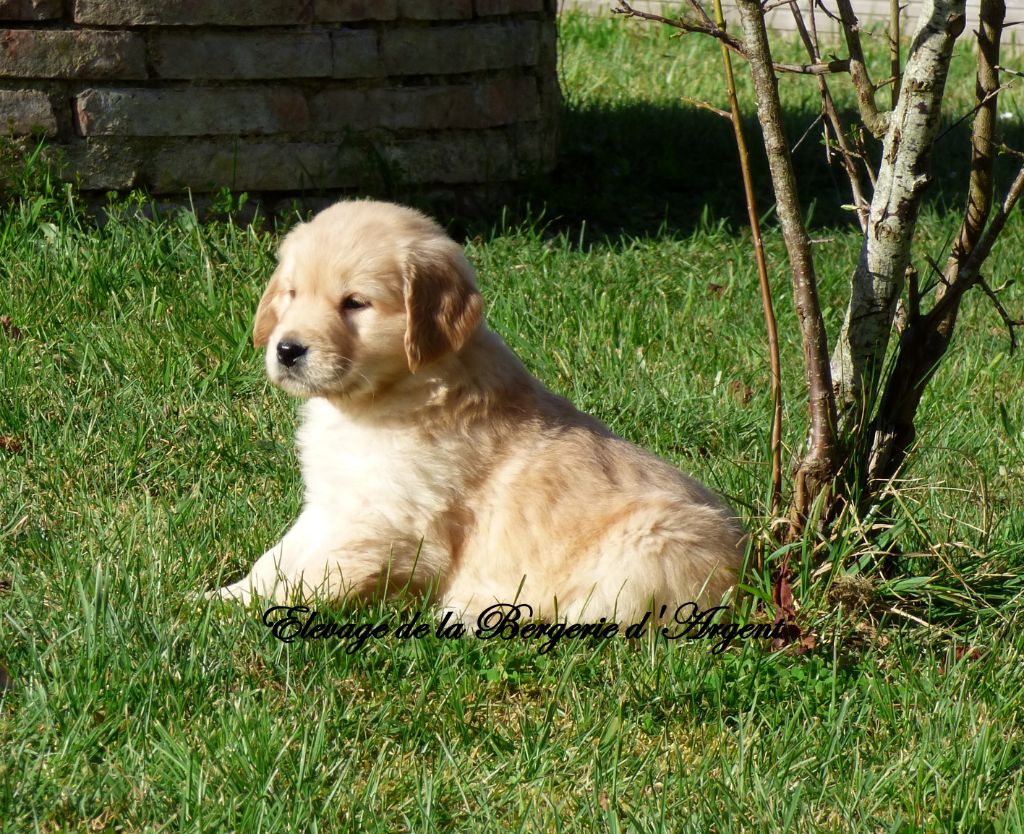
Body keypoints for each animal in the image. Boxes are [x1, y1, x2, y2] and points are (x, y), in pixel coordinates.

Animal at [214, 198, 745, 622]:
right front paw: (222, 596)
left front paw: (247, 614)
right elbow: (278, 558)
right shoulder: (332, 503)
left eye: (355, 303)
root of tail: (749, 566)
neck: (382, 398)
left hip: (651, 548)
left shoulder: (390, 521)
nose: (287, 349)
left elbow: (315, 575)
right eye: (291, 294)